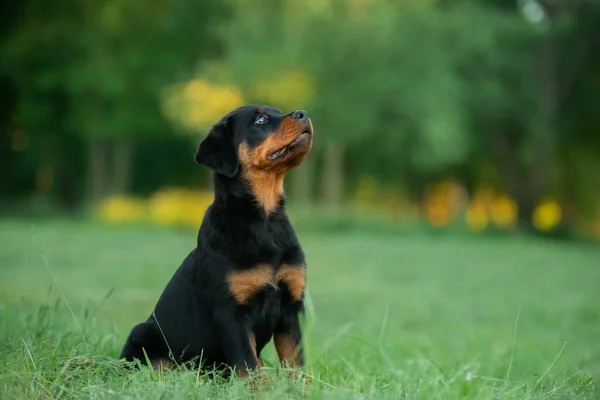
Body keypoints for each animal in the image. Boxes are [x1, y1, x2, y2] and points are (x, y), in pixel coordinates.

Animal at [118, 104, 314, 380]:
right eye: (261, 120)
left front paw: (295, 388)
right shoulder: (231, 313)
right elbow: (248, 366)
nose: (303, 114)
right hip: (143, 333)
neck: (264, 218)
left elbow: (295, 363)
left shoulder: (291, 309)